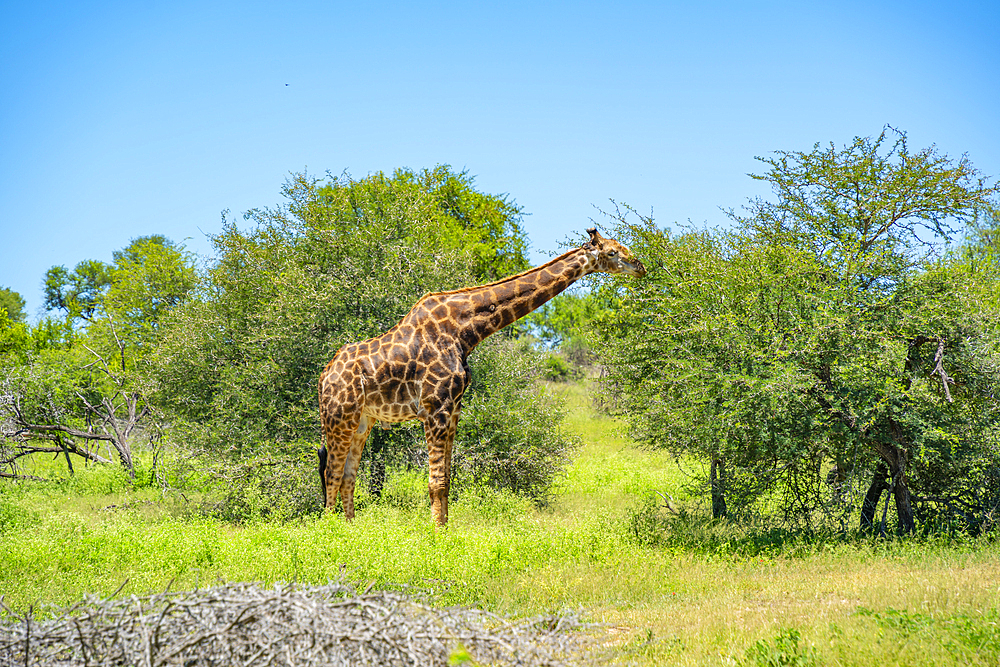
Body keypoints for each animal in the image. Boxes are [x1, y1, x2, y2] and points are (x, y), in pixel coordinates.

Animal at [320, 228, 648, 528]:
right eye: (612, 252)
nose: (640, 266)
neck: (465, 331)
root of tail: (324, 376)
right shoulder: (435, 407)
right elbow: (435, 482)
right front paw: (436, 535)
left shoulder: (454, 408)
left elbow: (447, 479)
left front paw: (446, 530)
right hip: (340, 416)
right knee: (331, 472)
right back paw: (329, 532)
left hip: (362, 421)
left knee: (348, 474)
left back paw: (350, 528)